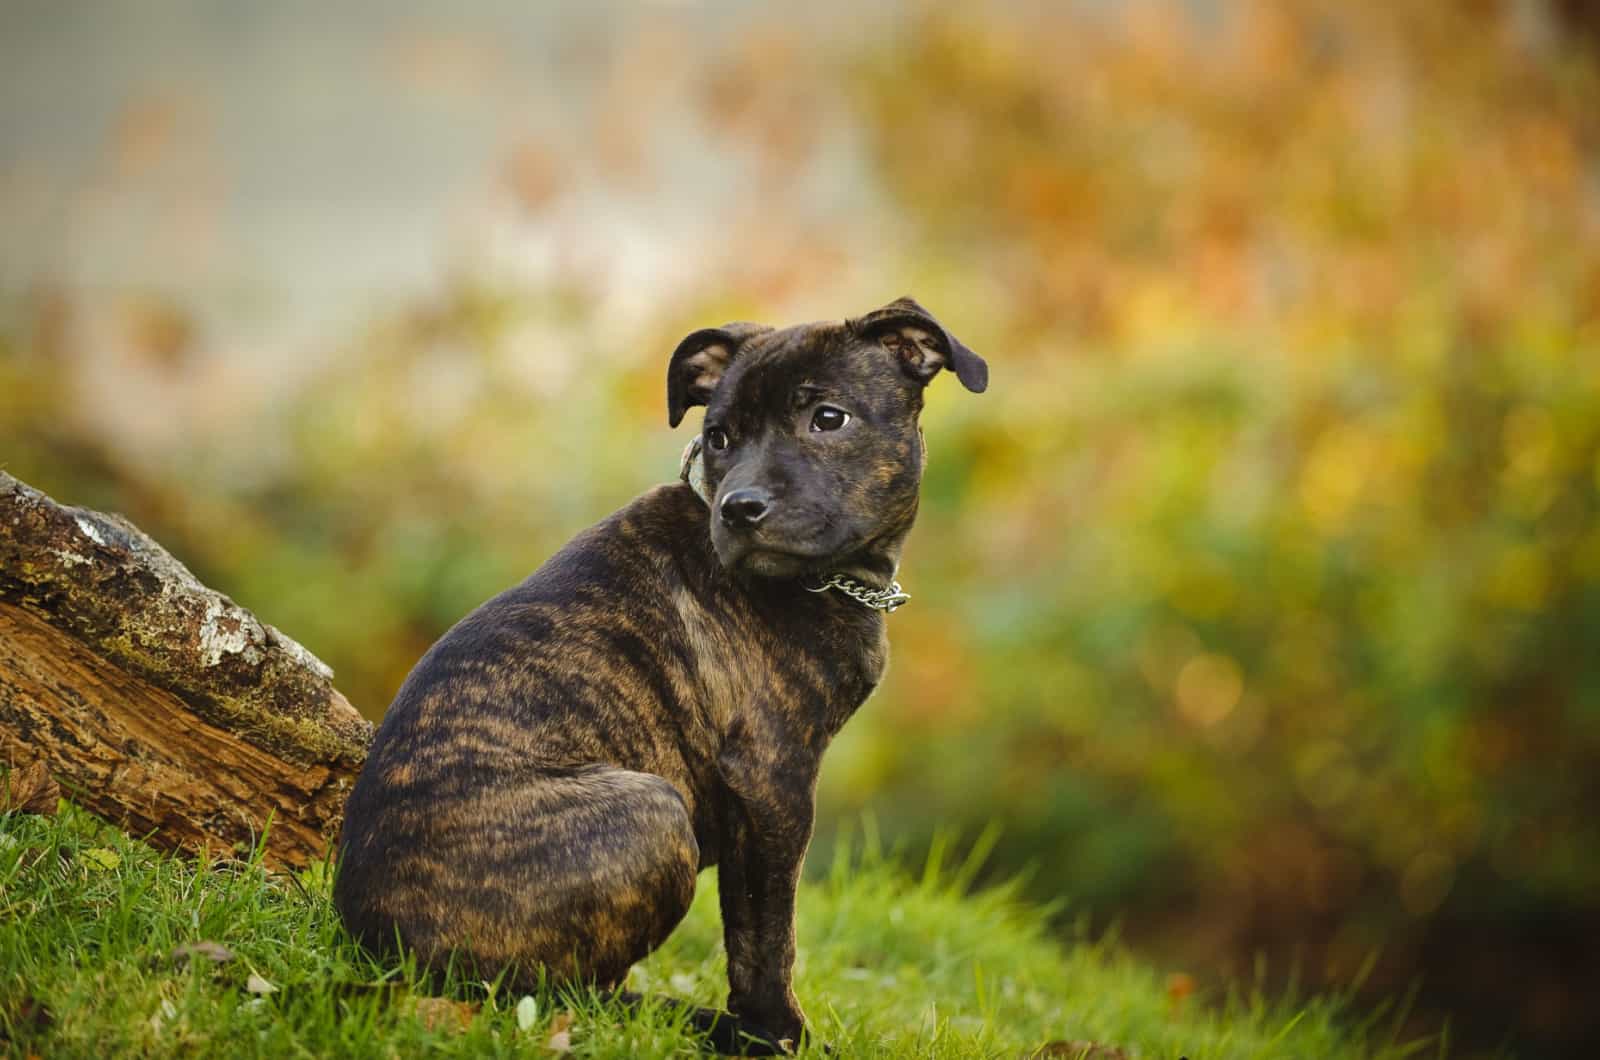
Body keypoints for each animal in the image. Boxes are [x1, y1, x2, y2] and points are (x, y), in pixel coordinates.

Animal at [334, 299, 985, 1056]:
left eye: (829, 418)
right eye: (719, 436)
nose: (739, 508)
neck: (830, 581)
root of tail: (372, 944)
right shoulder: (773, 781)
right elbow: (767, 933)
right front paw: (777, 1034)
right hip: (651, 810)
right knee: (556, 993)